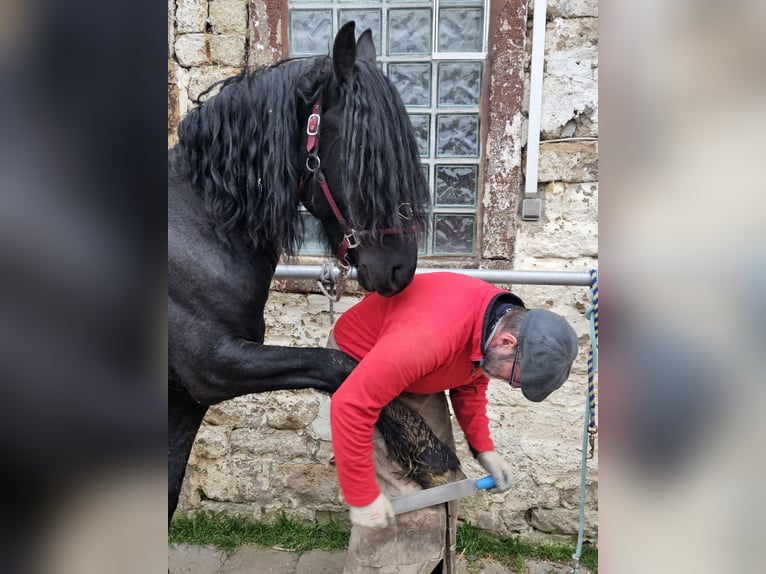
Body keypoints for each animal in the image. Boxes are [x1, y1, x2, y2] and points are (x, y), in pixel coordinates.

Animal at [171, 23, 460, 520]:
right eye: (367, 155)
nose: (401, 269)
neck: (200, 228)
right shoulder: (214, 366)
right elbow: (340, 366)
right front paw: (431, 458)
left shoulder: (186, 399)